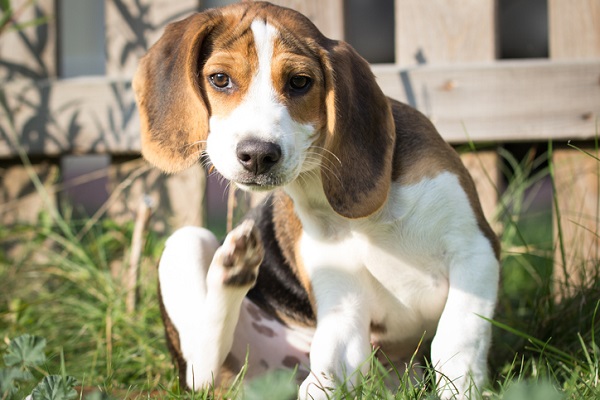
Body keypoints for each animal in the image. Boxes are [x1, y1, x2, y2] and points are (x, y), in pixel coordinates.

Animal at [132, 1, 502, 398]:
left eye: (299, 82)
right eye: (219, 79)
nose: (258, 154)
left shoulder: (475, 250)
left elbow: (456, 341)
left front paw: (462, 387)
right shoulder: (343, 301)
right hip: (186, 243)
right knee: (201, 368)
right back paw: (232, 268)